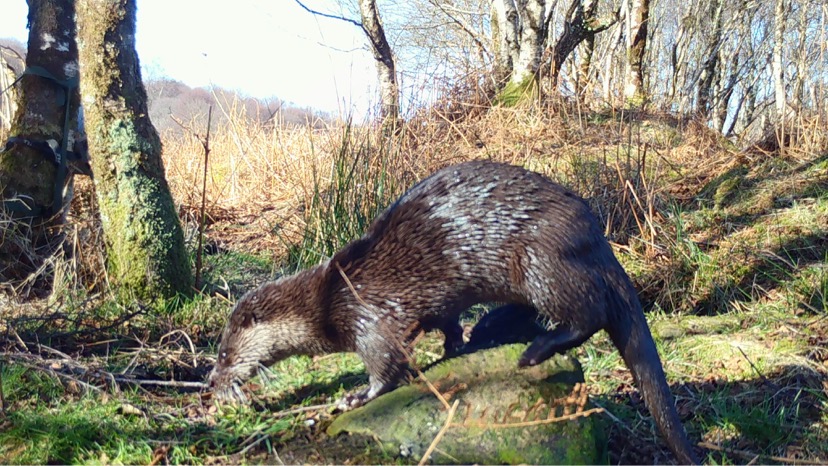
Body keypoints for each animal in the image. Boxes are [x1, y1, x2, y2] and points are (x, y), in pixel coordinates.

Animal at [209, 159, 700, 462]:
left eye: (223, 354)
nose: (212, 383)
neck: (328, 299)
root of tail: (597, 236)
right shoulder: (430, 305)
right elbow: (445, 323)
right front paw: (453, 348)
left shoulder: (370, 316)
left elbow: (385, 363)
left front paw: (356, 397)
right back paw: (494, 329)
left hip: (540, 260)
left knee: (589, 312)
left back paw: (535, 350)